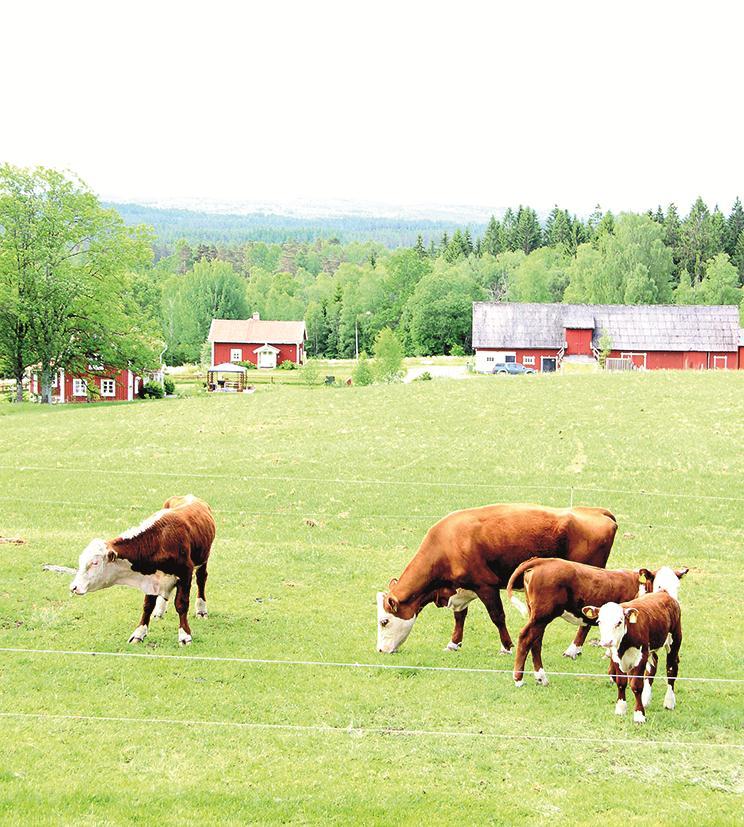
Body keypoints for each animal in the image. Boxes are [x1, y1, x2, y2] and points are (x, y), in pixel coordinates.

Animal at [70, 492, 217, 648]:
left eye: (95, 563)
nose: (73, 587)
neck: (160, 541)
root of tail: (190, 496)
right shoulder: (150, 577)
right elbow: (147, 606)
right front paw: (139, 634)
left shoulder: (185, 573)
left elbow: (181, 604)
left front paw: (185, 636)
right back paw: (160, 610)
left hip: (203, 560)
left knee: (201, 580)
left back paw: (201, 610)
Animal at [378, 502, 616, 656]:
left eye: (384, 621)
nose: (380, 650)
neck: (447, 543)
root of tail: (597, 511)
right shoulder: (461, 588)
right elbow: (459, 616)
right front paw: (453, 643)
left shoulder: (486, 585)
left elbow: (497, 616)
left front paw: (506, 646)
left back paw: (573, 649)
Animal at [506, 560, 656, 688]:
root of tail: (542, 561)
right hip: (542, 616)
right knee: (526, 637)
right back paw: (519, 679)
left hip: (537, 616)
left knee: (536, 641)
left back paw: (541, 677)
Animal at [580, 568, 684, 724]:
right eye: (599, 621)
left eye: (619, 622)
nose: (607, 642)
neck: (624, 643)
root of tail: (664, 593)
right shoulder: (616, 656)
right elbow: (621, 682)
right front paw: (621, 708)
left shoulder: (641, 656)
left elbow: (636, 685)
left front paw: (639, 715)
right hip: (652, 647)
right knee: (653, 666)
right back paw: (646, 699)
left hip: (674, 640)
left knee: (671, 669)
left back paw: (669, 702)